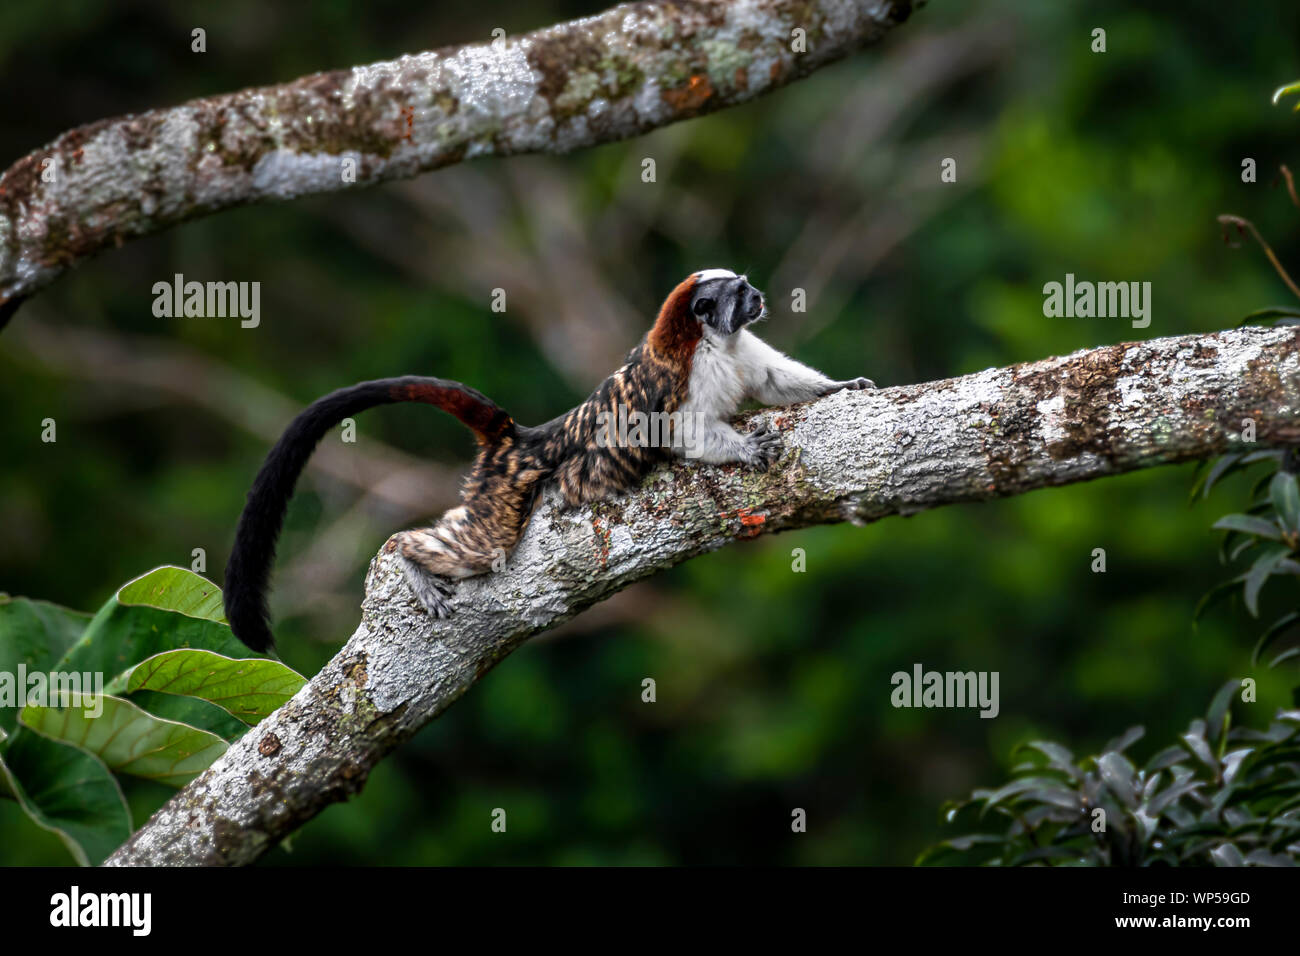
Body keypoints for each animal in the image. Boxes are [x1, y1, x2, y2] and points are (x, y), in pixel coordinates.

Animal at [223, 270, 873, 658]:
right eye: (739, 293)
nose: (758, 297)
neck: (709, 340)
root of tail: (521, 440)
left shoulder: (739, 353)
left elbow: (773, 380)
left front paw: (841, 387)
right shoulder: (689, 375)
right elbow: (682, 435)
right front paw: (744, 448)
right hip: (502, 497)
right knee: (479, 547)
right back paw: (405, 556)